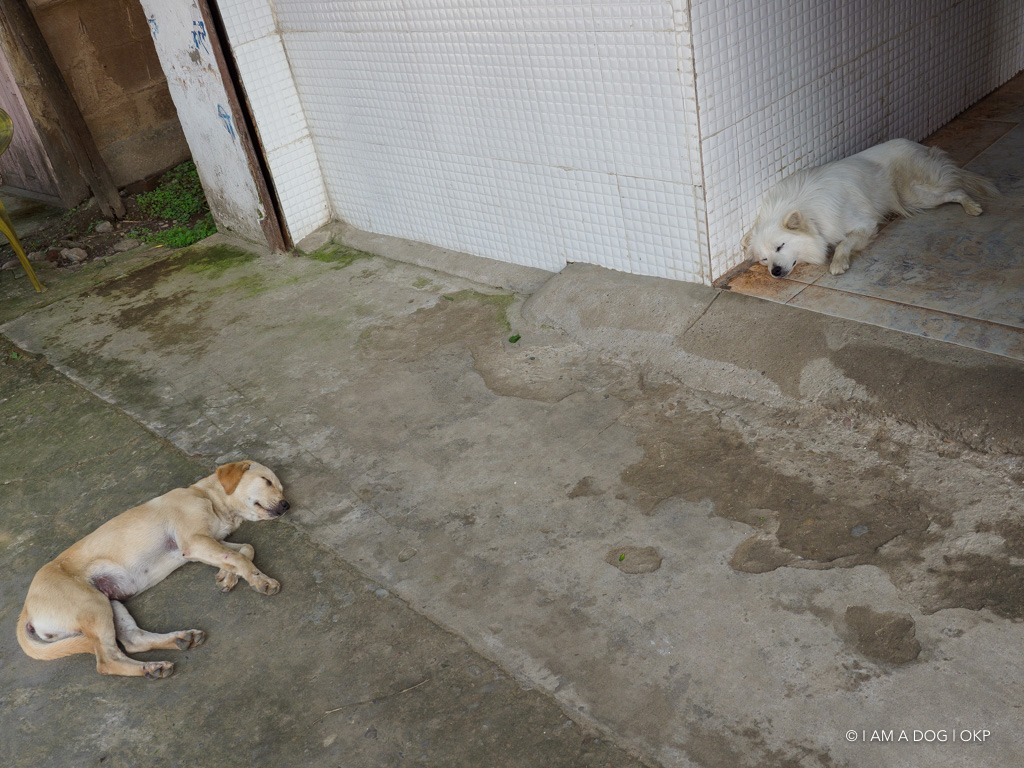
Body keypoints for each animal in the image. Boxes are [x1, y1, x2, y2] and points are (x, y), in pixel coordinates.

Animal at [17, 461, 288, 678]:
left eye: (281, 488)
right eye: (266, 481)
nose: (287, 505)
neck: (207, 497)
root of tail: (26, 609)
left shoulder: (203, 545)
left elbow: (245, 549)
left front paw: (227, 576)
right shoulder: (193, 542)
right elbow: (239, 557)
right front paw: (261, 580)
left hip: (109, 602)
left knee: (133, 642)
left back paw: (177, 642)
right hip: (92, 606)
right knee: (106, 661)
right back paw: (152, 666)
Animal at [742, 139, 998, 278]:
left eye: (780, 246)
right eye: (764, 259)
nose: (774, 272)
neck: (811, 214)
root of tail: (918, 146)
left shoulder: (865, 225)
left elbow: (843, 243)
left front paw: (838, 263)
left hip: (915, 196)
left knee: (957, 190)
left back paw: (972, 206)